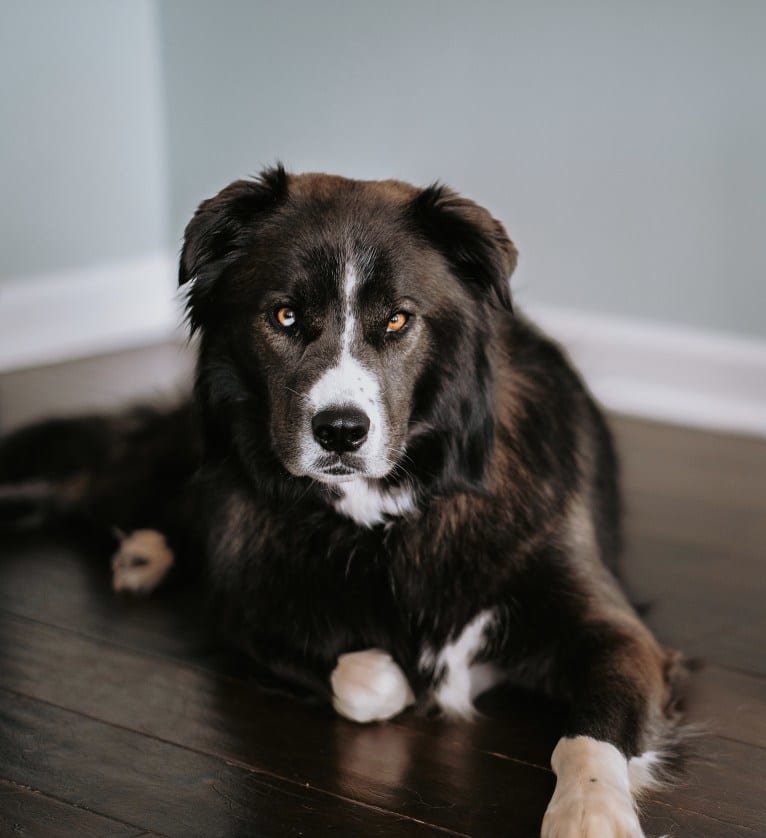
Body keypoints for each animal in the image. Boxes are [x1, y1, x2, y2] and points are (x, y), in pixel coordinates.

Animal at [0, 167, 688, 836]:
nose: (339, 432)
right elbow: (374, 680)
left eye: (398, 320)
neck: (386, 514)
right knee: (87, 489)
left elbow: (587, 735)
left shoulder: (617, 634)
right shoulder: (244, 610)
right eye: (284, 316)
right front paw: (400, 677)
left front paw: (589, 812)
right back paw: (131, 547)